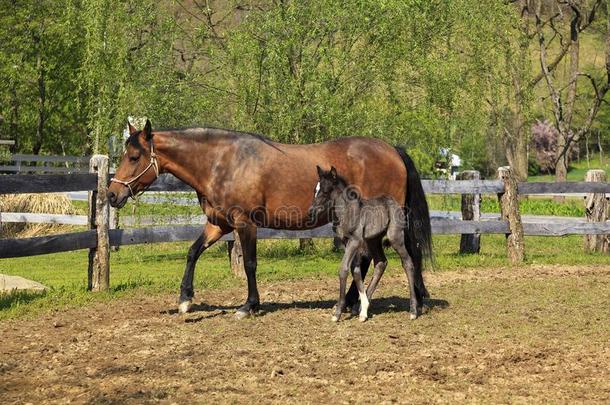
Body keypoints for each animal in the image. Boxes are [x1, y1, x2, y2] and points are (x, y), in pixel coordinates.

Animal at [306, 166, 426, 320]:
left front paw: (338, 312)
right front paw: (363, 309)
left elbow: (344, 269)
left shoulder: (355, 240)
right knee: (381, 263)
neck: (346, 212)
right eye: (315, 190)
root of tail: (396, 204)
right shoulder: (346, 242)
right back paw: (361, 308)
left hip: (395, 238)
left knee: (408, 263)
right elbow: (356, 270)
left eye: (326, 191)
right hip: (373, 241)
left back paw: (413, 311)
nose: (311, 212)